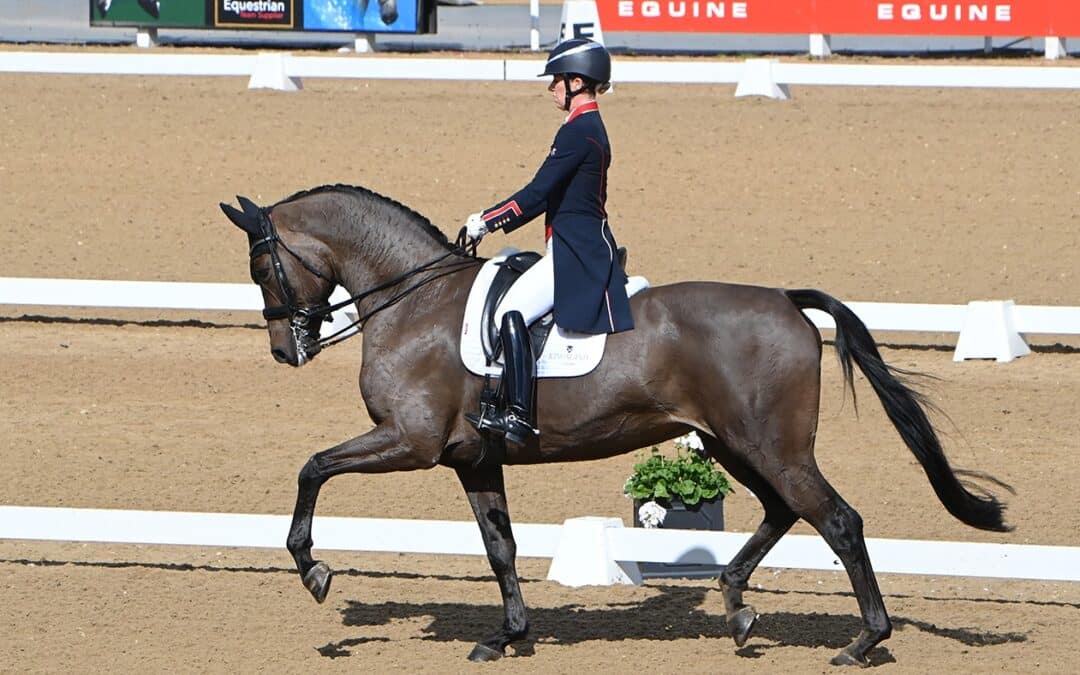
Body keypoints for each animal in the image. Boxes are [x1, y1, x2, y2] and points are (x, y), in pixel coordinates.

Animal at [219, 182, 1010, 665]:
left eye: (261, 267)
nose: (285, 350)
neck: (415, 302)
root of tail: (785, 300)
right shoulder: (472, 458)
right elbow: (500, 546)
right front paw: (506, 636)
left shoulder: (409, 443)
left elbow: (313, 467)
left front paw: (314, 569)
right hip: (734, 443)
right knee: (786, 510)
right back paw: (736, 606)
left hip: (769, 444)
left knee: (838, 520)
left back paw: (861, 642)